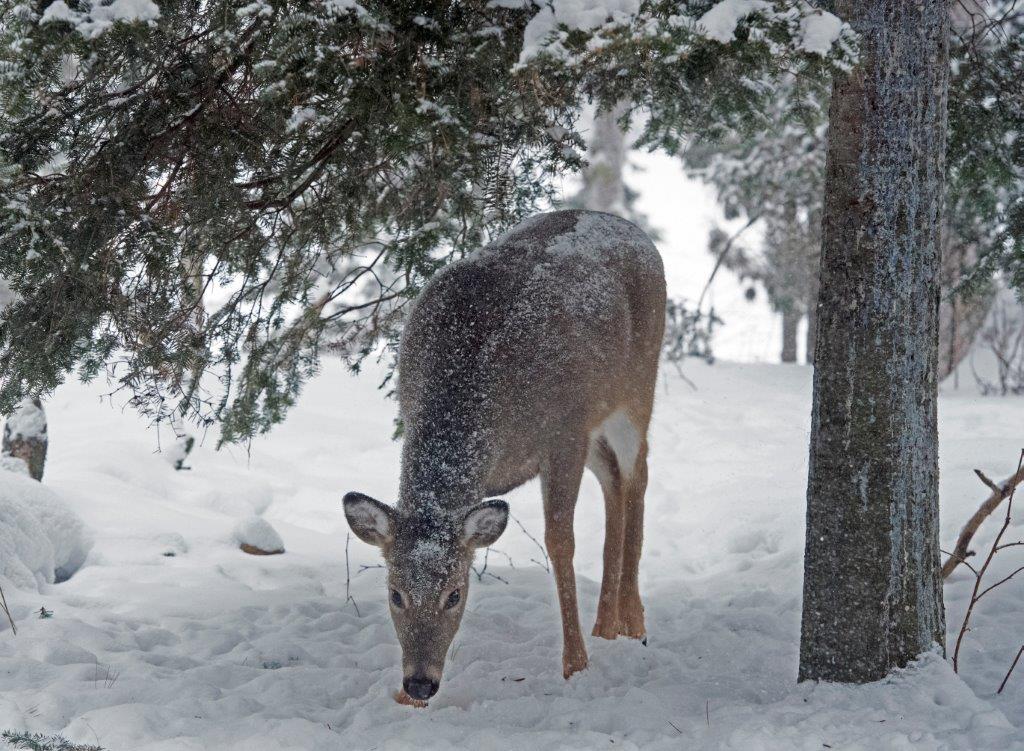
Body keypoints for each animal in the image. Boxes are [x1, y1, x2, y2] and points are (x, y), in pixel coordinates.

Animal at [343, 209, 666, 703]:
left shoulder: (563, 431)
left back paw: (632, 621)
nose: (419, 683)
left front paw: (575, 665)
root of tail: (632, 228)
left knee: (638, 474)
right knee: (614, 478)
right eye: (395, 593)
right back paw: (605, 624)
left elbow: (560, 541)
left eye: (455, 594)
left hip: (636, 387)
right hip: (598, 420)